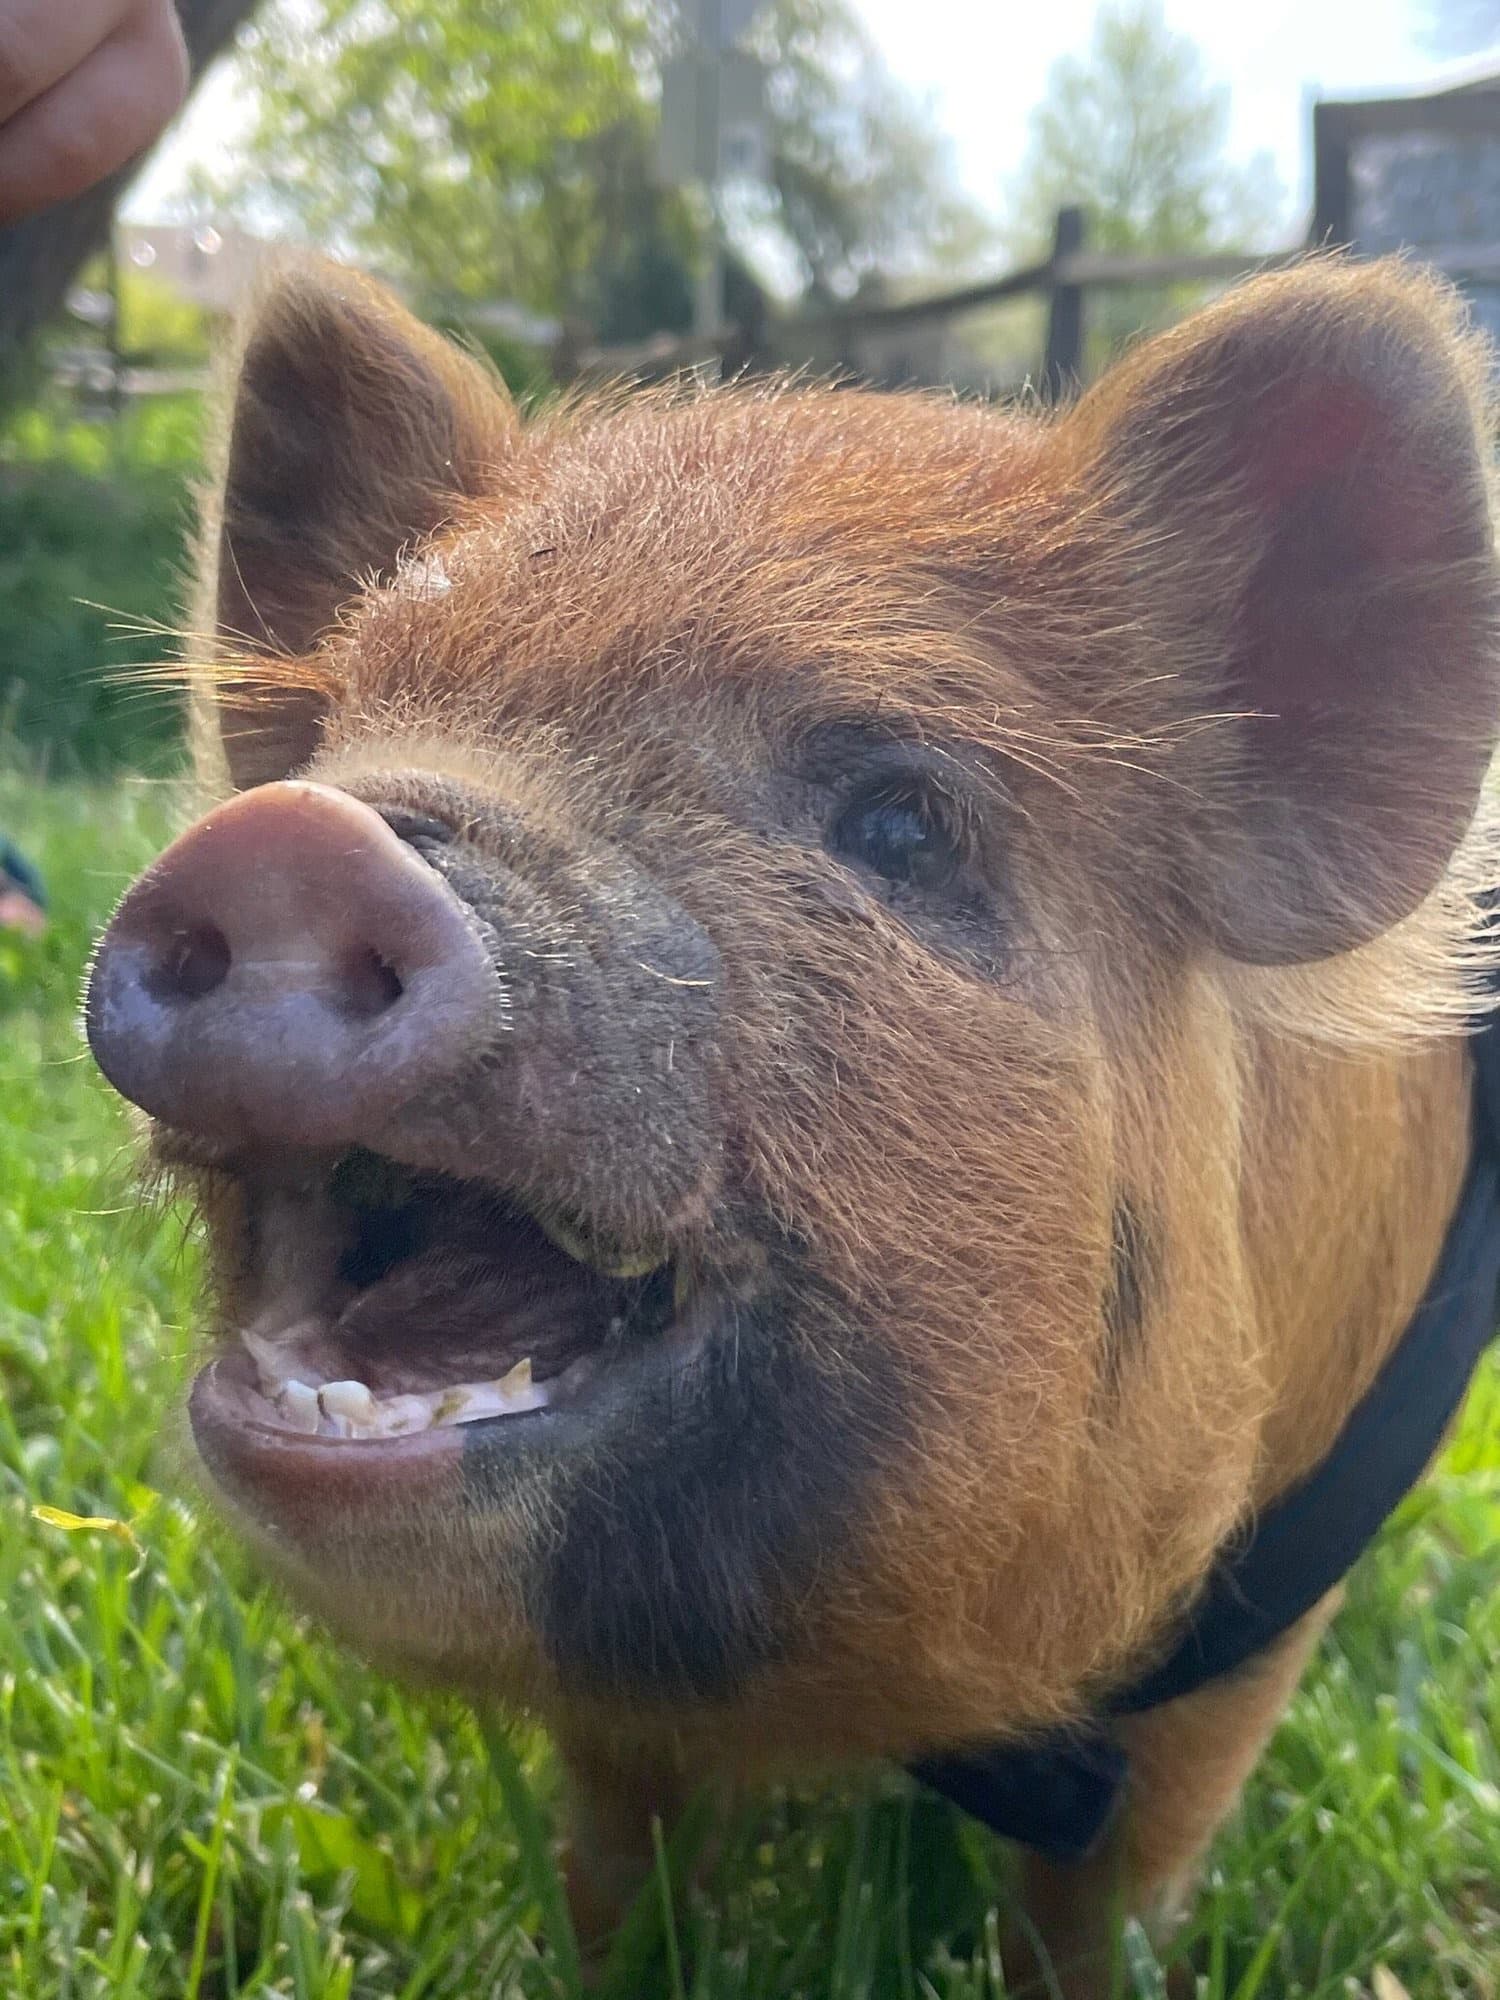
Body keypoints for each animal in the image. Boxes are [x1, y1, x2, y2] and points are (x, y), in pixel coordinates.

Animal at [84, 254, 1500, 1994]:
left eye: (899, 823)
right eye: (351, 721)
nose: (297, 836)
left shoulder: (1247, 1642)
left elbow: (1103, 1898)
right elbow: (619, 1859)